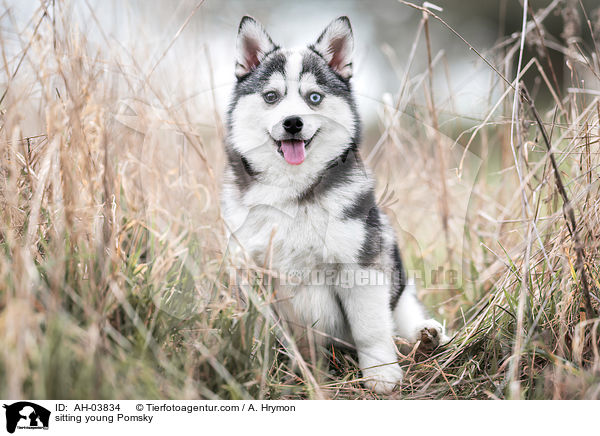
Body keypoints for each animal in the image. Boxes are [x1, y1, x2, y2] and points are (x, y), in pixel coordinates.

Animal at [223, 15, 448, 394]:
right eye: (271, 97)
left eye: (314, 97)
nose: (293, 123)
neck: (293, 190)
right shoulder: (251, 274)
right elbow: (257, 329)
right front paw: (255, 366)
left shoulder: (361, 268)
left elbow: (371, 329)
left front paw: (381, 375)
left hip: (397, 278)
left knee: (404, 317)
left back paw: (426, 336)